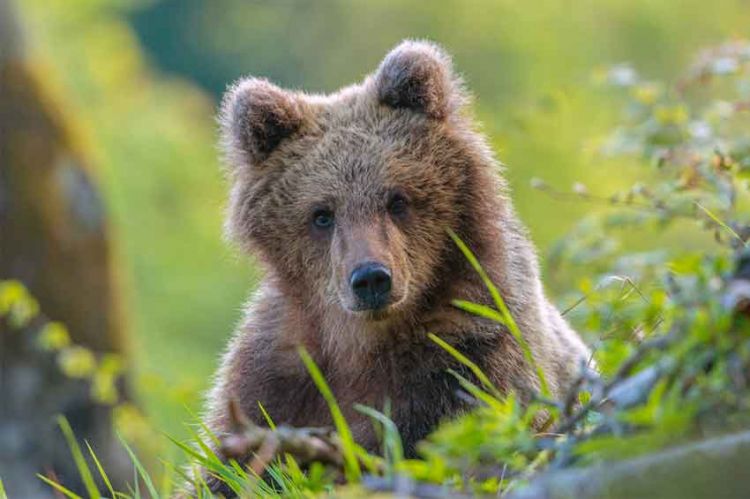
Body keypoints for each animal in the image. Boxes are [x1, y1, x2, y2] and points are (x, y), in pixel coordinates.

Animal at [203, 39, 592, 492]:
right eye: (322, 214)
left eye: (397, 199)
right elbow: (226, 467)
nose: (371, 278)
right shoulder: (278, 373)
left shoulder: (473, 354)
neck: (364, 342)